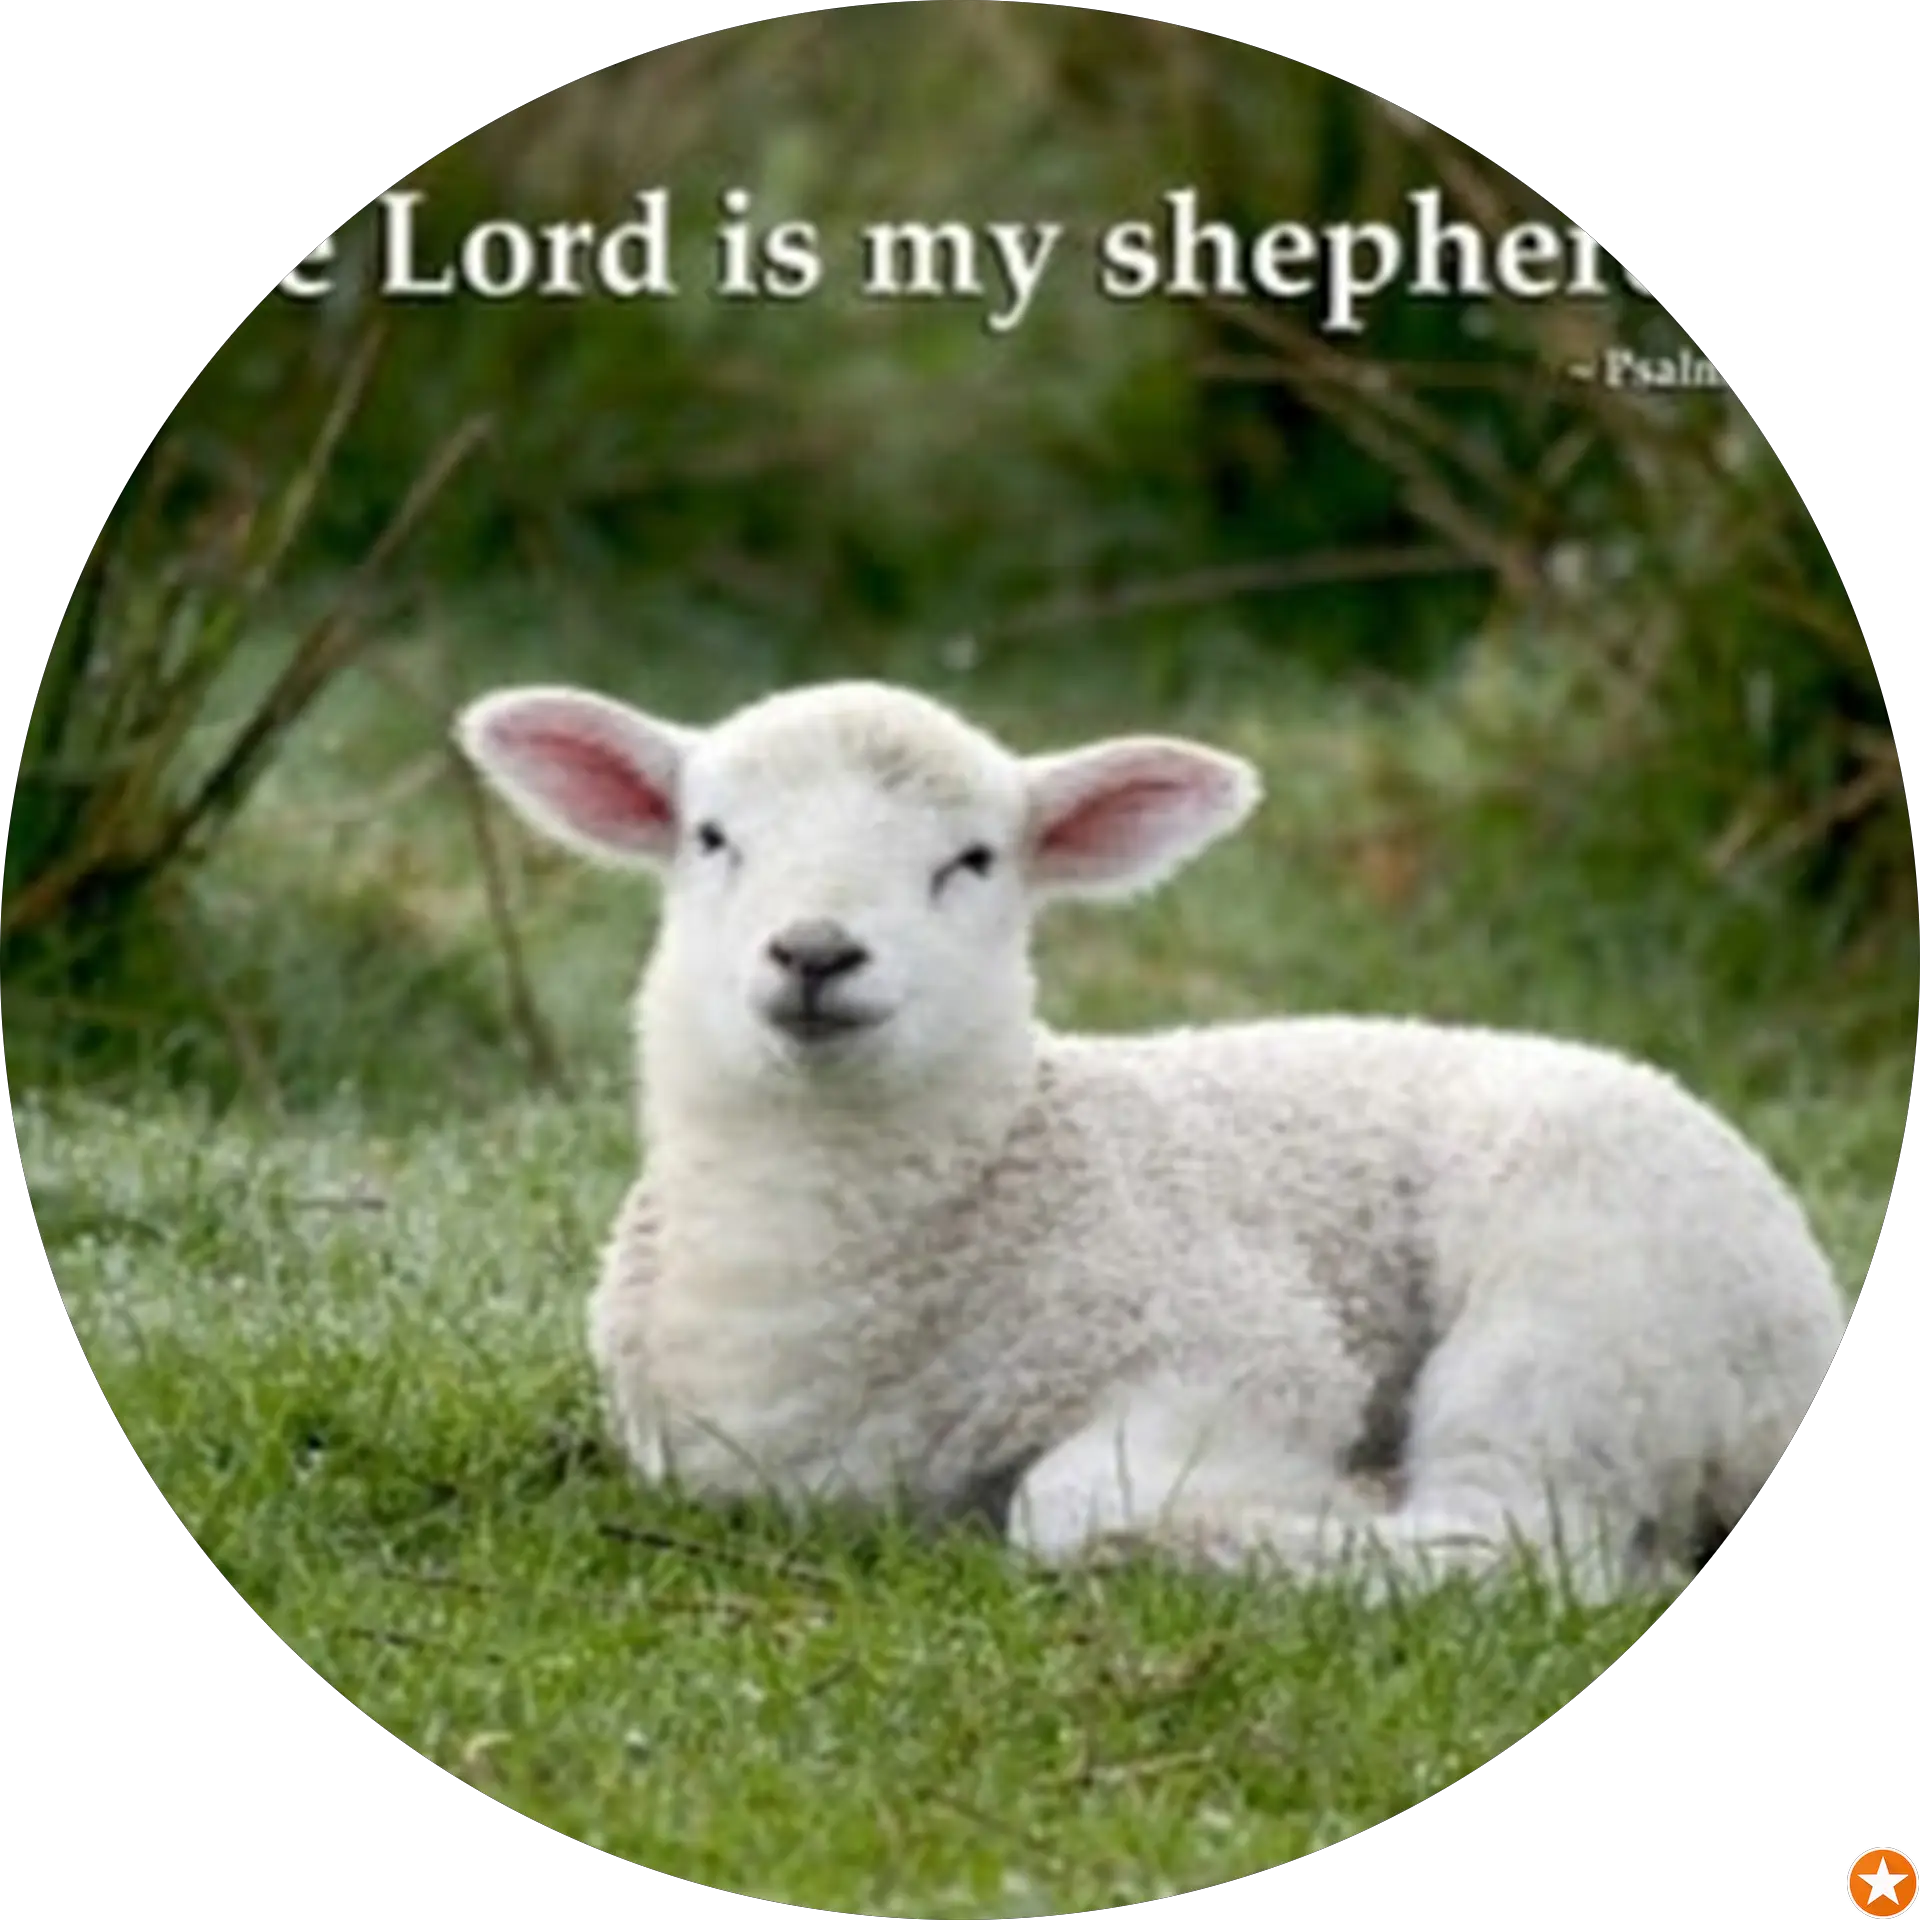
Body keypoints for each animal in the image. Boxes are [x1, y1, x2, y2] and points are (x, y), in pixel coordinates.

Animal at [454, 676, 1846, 1600]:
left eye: (973, 860)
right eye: (710, 836)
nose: (814, 952)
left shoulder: (1251, 1344)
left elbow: (1065, 1504)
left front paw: (1267, 1504)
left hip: (1593, 1306)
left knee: (1517, 1541)